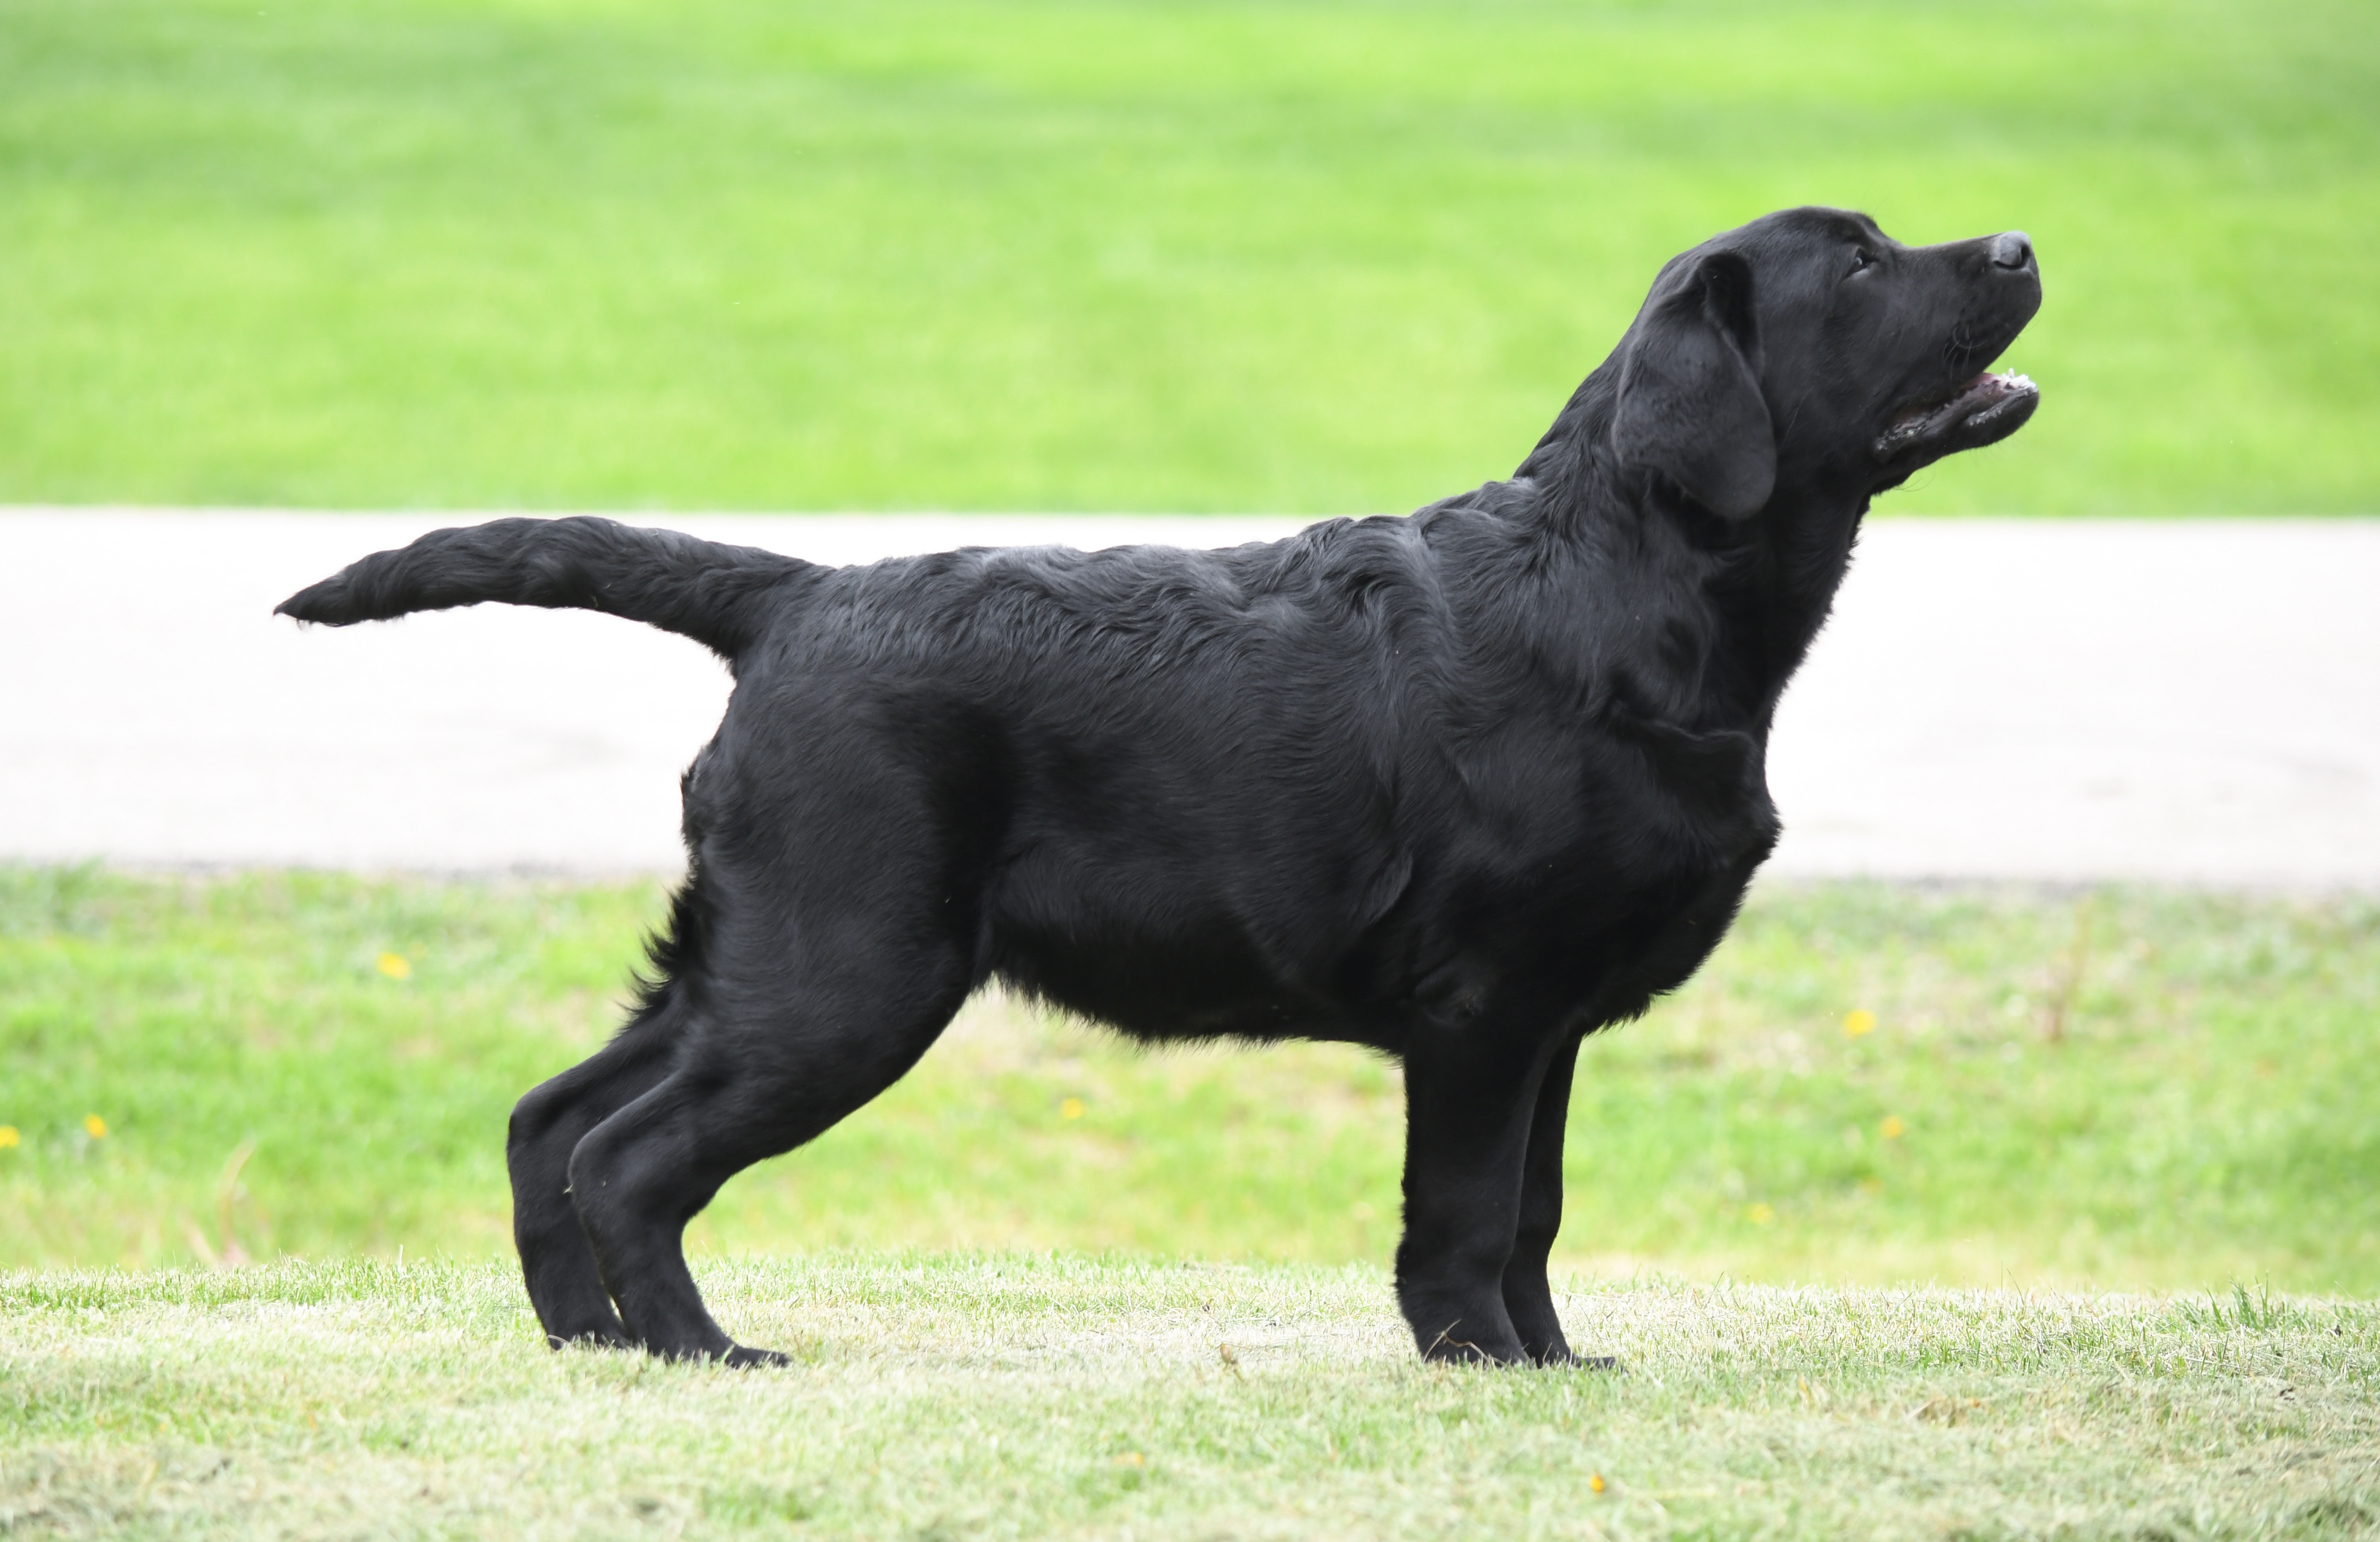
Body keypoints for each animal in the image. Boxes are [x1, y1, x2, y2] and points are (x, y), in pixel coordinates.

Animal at [281, 206, 2040, 1366]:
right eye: (1862, 264)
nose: (2019, 245)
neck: (1624, 585)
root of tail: (794, 594)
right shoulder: (1482, 1009)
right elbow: (1469, 1210)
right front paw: (1474, 1360)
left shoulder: (1547, 1022)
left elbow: (1536, 1210)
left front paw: (1551, 1363)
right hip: (847, 973)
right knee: (629, 1158)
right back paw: (701, 1351)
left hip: (748, 953)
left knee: (550, 1119)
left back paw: (590, 1346)